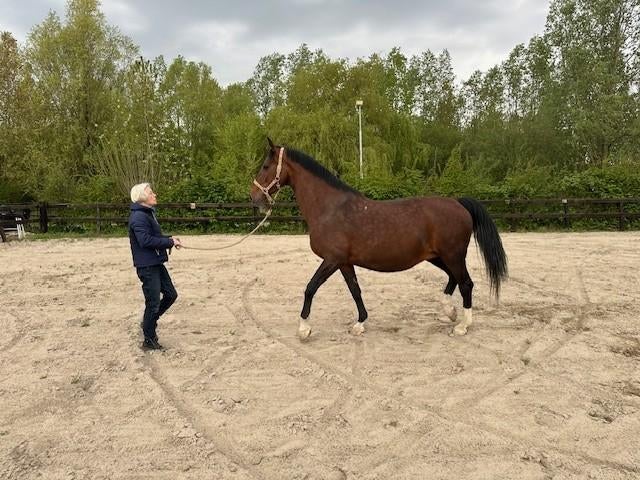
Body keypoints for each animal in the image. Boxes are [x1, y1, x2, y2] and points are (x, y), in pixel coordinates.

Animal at [250, 138, 508, 340]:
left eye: (265, 166)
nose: (254, 197)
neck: (330, 208)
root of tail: (458, 203)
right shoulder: (344, 262)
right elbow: (355, 290)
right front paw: (360, 323)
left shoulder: (332, 260)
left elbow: (310, 288)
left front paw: (304, 328)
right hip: (438, 256)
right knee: (454, 278)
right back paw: (450, 312)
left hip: (453, 255)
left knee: (466, 283)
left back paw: (463, 326)